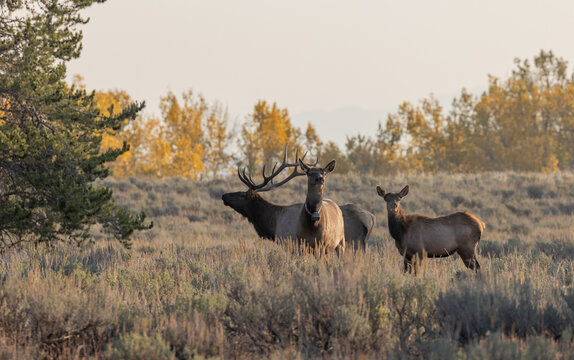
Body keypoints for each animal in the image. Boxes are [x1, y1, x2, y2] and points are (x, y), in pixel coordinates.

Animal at [222, 146, 378, 250]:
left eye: (242, 195)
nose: (224, 196)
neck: (273, 222)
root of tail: (371, 218)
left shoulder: (289, 241)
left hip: (353, 242)